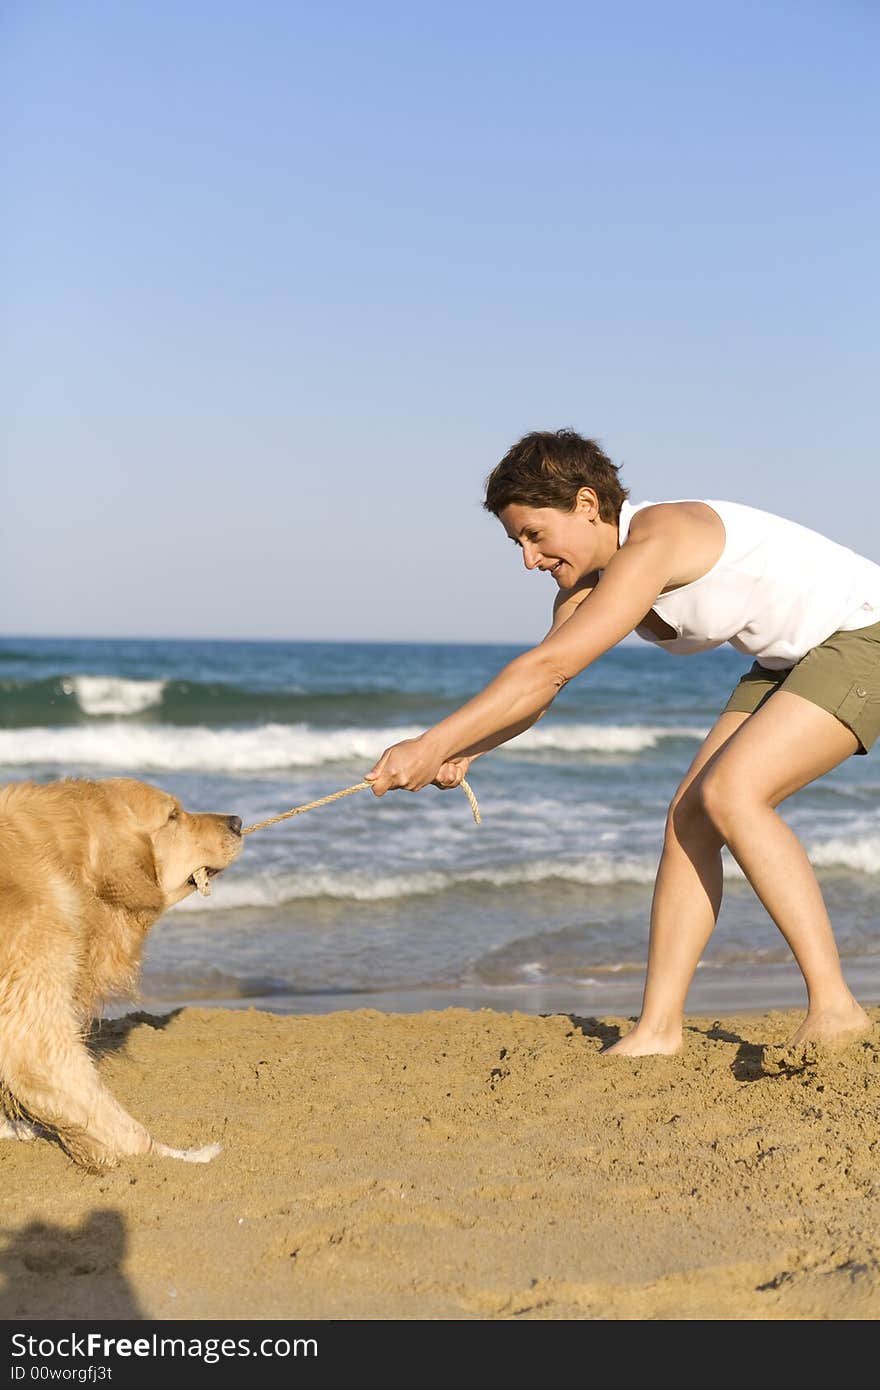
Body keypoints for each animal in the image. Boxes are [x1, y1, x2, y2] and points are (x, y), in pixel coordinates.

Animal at [0, 778, 243, 1167]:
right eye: (173, 815)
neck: (63, 859)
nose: (237, 821)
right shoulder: (35, 1032)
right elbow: (123, 1128)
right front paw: (184, 1155)